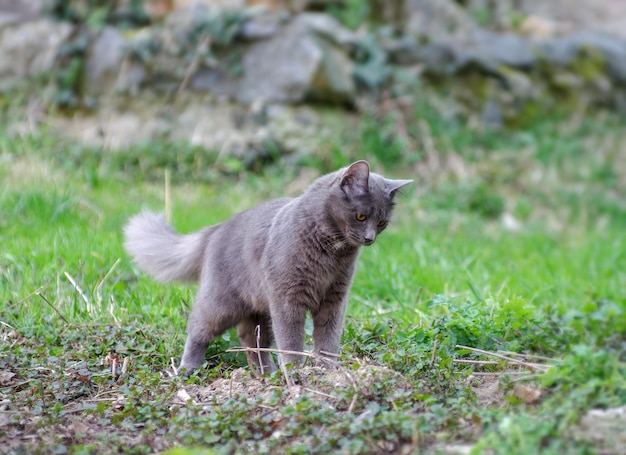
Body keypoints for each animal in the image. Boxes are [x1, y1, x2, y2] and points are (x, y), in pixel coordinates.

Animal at [124, 160, 412, 374]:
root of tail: (217, 228)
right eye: (361, 216)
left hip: (260, 307)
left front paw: (327, 370)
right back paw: (188, 368)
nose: (369, 238)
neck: (331, 251)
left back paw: (266, 373)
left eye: (382, 223)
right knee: (198, 328)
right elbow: (292, 338)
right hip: (223, 302)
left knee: (250, 338)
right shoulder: (288, 297)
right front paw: (295, 370)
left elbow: (328, 338)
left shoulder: (334, 297)